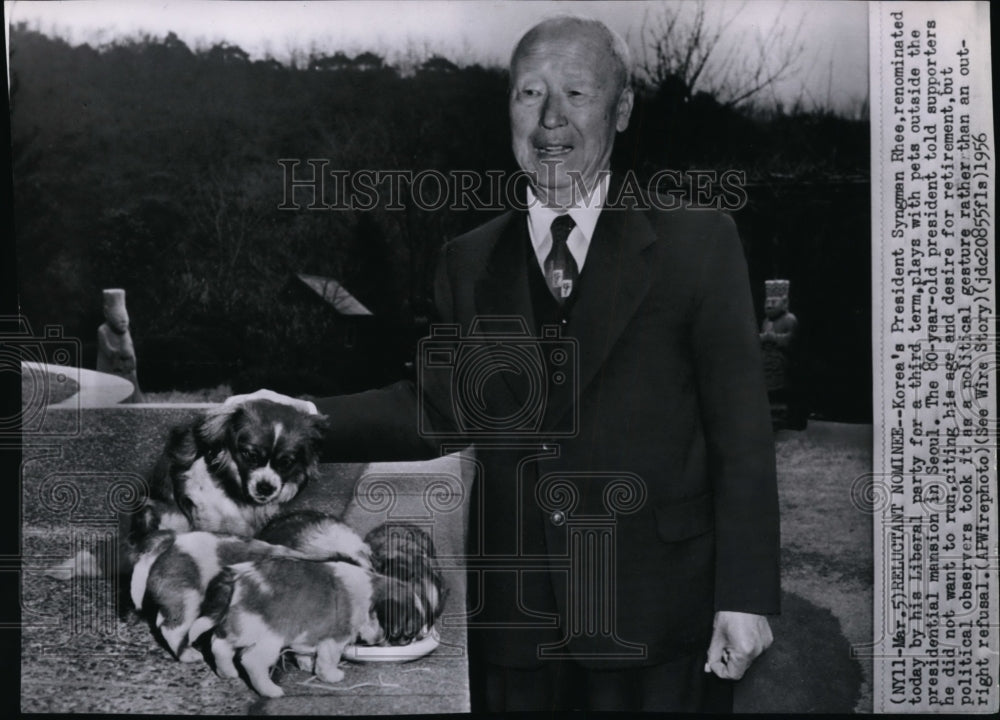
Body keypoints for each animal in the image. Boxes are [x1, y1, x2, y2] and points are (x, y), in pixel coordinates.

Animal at [188, 556, 422, 696]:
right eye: (402, 634)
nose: (406, 642)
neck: (368, 594)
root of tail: (237, 576)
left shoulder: (307, 634)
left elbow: (305, 653)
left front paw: (307, 665)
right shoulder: (334, 640)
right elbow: (328, 660)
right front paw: (331, 676)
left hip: (239, 626)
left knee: (219, 645)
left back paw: (227, 672)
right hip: (269, 637)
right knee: (252, 661)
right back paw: (270, 690)